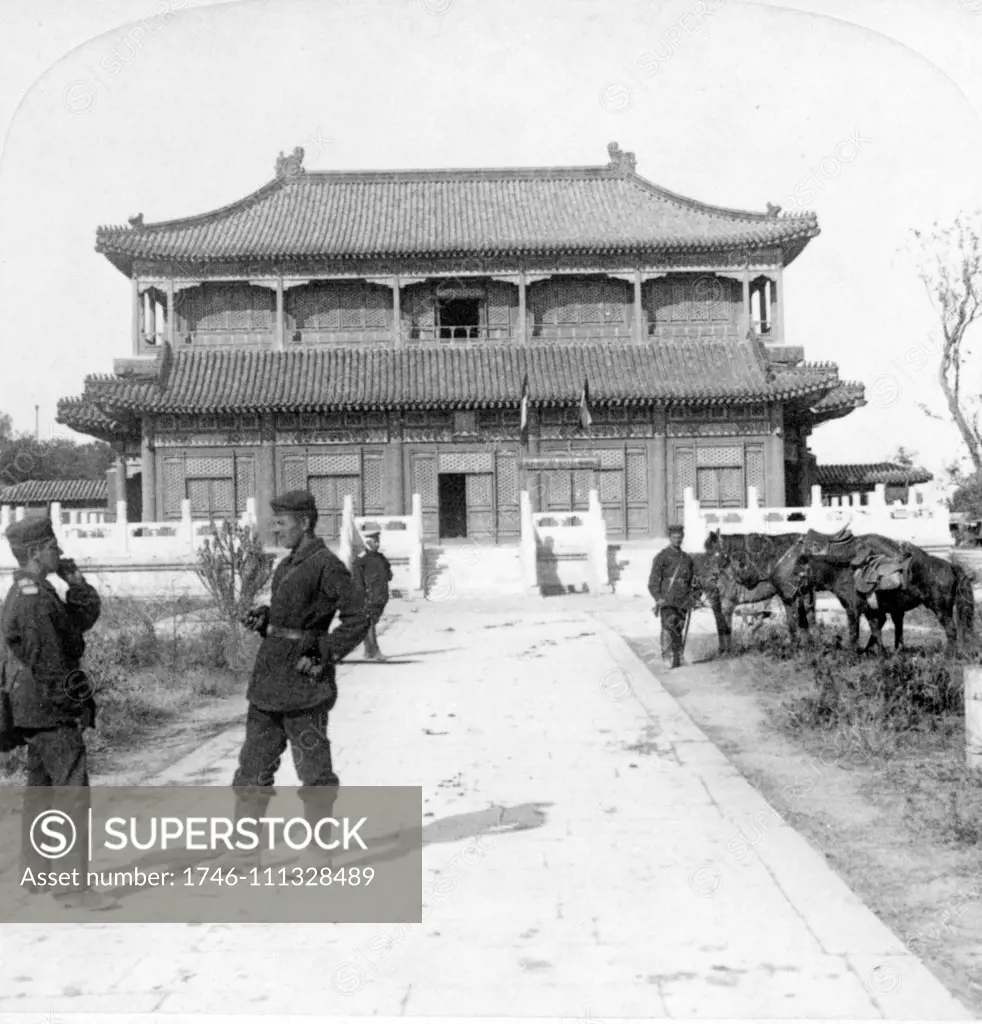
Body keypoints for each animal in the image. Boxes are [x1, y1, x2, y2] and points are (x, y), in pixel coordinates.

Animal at [798, 528, 974, 655]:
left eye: (800, 571)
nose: (800, 590)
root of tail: (951, 566)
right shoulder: (876, 610)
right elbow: (878, 628)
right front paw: (883, 652)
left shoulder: (857, 609)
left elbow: (860, 631)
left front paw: (858, 653)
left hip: (941, 609)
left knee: (951, 631)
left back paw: (948, 657)